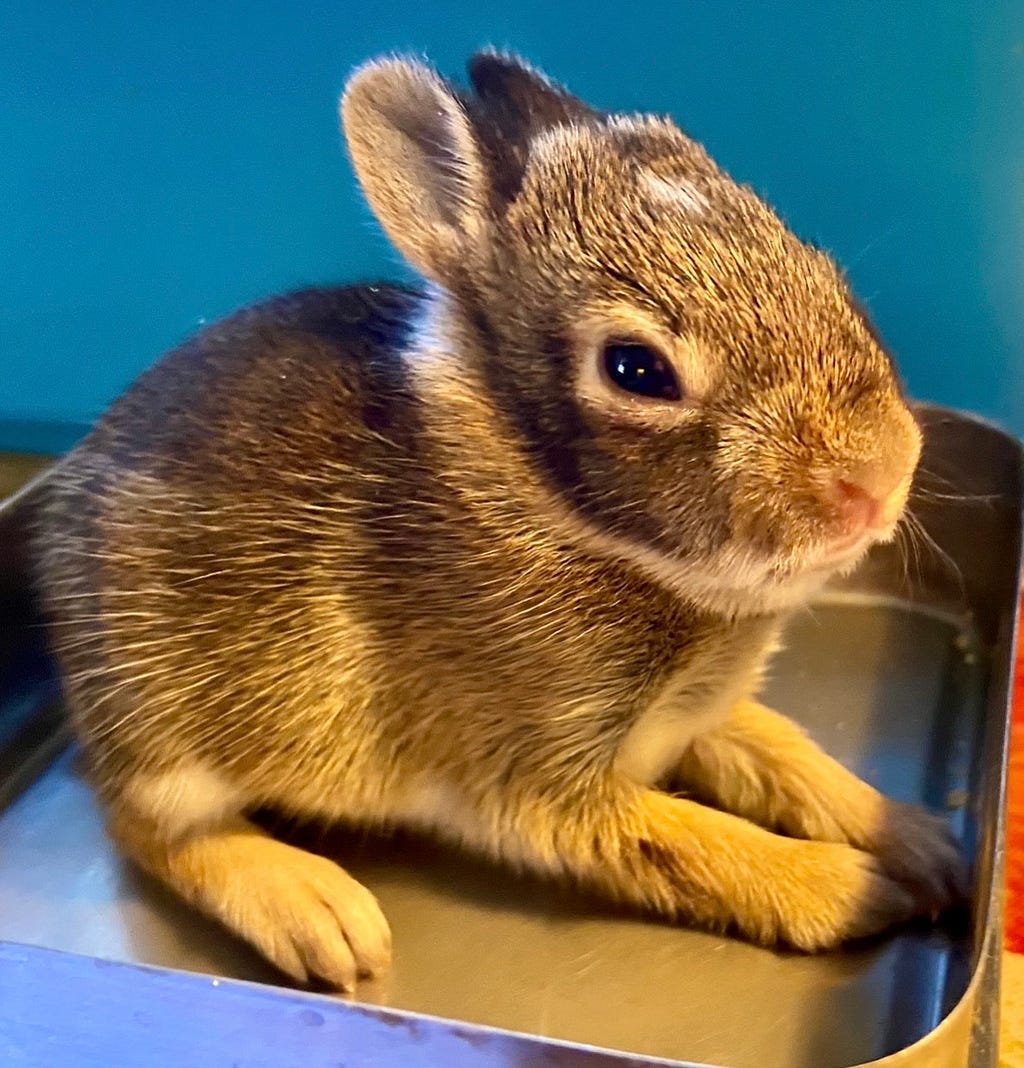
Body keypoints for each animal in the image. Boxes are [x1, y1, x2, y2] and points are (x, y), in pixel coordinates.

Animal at [32, 48, 961, 982]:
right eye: (636, 369)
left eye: (820, 264)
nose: (881, 474)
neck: (568, 517)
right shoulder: (538, 779)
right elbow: (696, 842)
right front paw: (853, 889)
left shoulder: (702, 717)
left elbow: (785, 755)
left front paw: (924, 845)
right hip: (168, 728)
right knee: (145, 825)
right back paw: (319, 915)